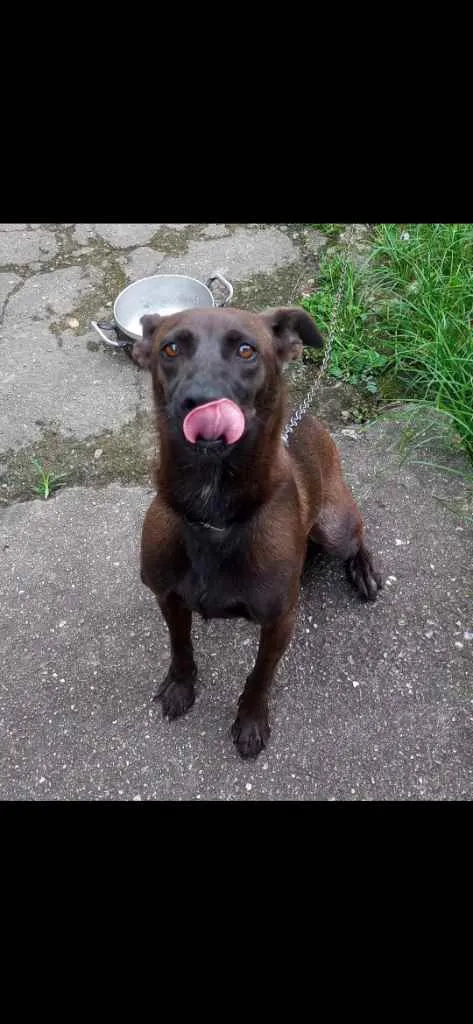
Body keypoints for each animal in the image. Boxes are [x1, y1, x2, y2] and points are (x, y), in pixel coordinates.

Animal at [133, 307, 380, 757]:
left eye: (247, 350)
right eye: (170, 348)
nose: (201, 401)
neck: (213, 511)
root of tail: (309, 418)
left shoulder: (279, 621)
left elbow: (261, 674)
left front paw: (250, 720)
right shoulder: (167, 597)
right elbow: (180, 646)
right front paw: (180, 686)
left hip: (334, 525)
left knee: (357, 534)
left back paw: (363, 570)